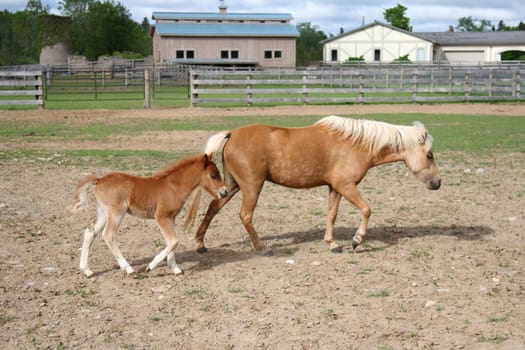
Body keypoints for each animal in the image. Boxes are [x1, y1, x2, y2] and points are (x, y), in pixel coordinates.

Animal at [70, 152, 226, 276]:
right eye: (213, 175)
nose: (224, 192)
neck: (173, 187)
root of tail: (99, 180)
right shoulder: (161, 217)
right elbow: (174, 241)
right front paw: (150, 267)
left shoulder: (171, 218)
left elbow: (171, 242)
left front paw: (176, 269)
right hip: (116, 212)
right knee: (108, 235)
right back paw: (129, 269)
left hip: (103, 212)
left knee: (90, 232)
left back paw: (87, 270)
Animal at [190, 116, 440, 253]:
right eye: (429, 155)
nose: (438, 182)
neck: (357, 143)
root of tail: (232, 134)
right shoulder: (346, 186)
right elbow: (367, 210)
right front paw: (356, 240)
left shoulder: (335, 188)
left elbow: (331, 215)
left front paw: (332, 244)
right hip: (252, 187)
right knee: (245, 215)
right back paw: (261, 248)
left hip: (231, 186)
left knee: (212, 208)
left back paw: (201, 244)